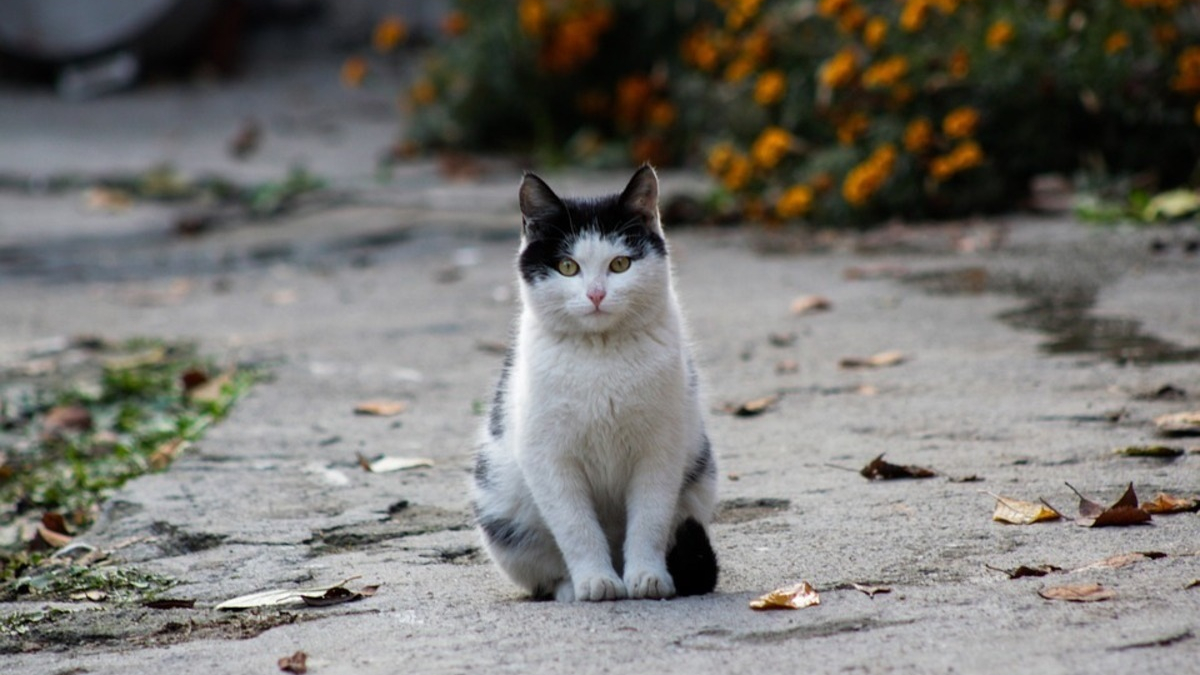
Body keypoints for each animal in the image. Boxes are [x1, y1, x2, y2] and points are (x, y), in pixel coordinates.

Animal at [468, 166, 710, 598]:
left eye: (620, 264)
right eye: (568, 267)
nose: (596, 294)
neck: (600, 354)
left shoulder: (661, 450)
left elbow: (649, 519)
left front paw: (647, 576)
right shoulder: (549, 458)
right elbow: (576, 527)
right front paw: (596, 579)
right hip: (501, 514)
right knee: (544, 571)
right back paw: (571, 586)